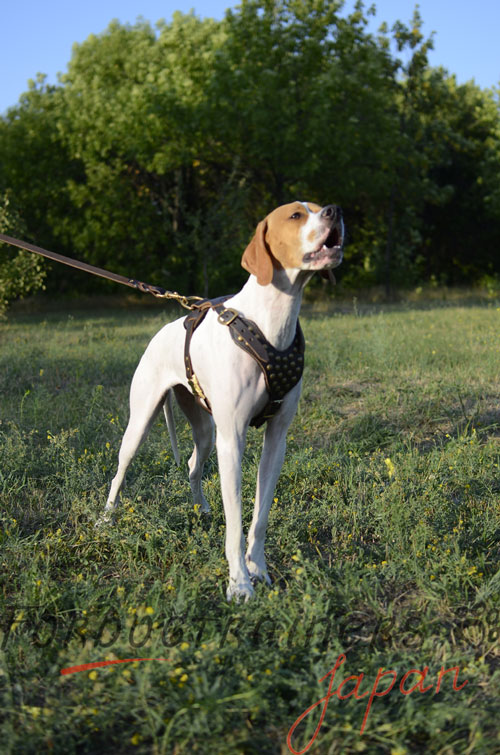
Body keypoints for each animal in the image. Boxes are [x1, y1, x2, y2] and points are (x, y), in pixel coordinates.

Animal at [100, 202, 344, 604]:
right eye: (295, 215)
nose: (335, 210)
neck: (271, 321)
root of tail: (161, 331)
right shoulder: (233, 441)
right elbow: (235, 524)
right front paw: (239, 583)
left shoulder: (276, 440)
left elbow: (259, 516)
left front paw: (258, 568)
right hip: (141, 424)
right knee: (120, 472)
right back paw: (105, 519)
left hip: (204, 430)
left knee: (192, 465)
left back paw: (200, 508)